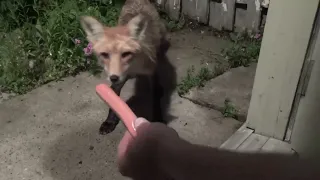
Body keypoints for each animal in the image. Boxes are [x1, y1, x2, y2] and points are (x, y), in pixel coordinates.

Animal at [80, 0, 170, 134]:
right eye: (105, 55)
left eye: (126, 54)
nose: (113, 78)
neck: (134, 67)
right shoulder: (118, 80)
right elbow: (113, 103)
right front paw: (110, 121)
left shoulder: (150, 71)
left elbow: (155, 99)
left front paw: (158, 119)